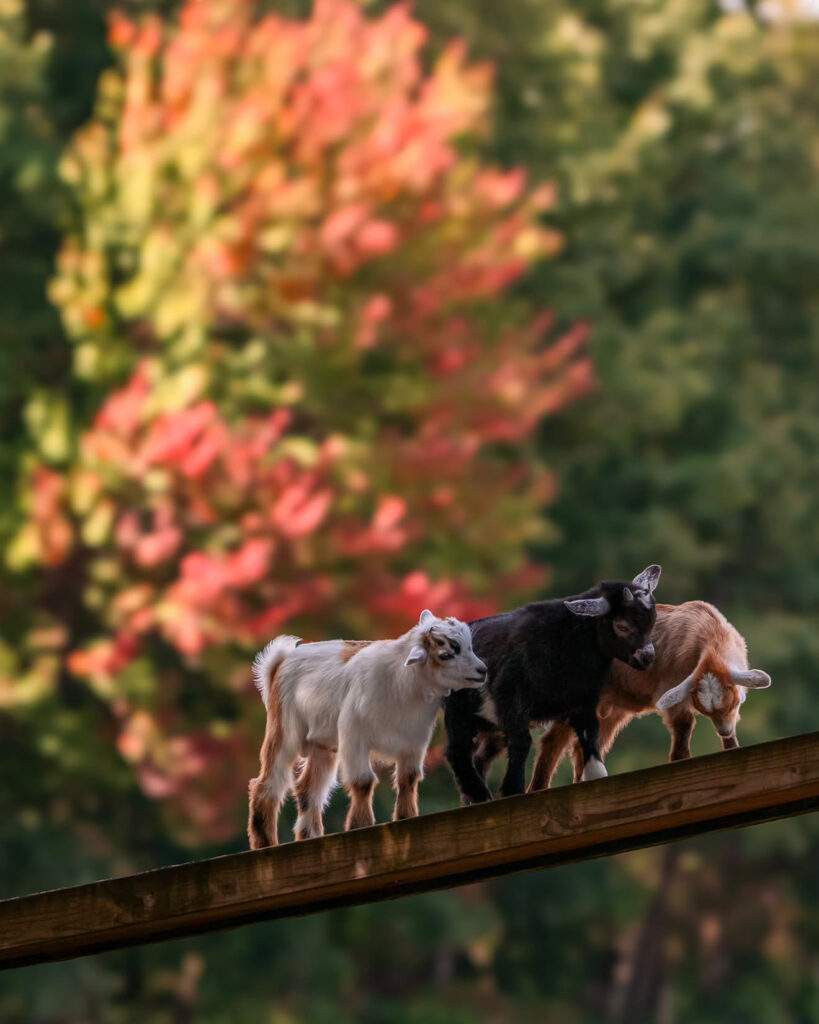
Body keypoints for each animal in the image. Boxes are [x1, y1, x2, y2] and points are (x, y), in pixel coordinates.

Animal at [248, 610, 487, 848]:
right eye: (446, 653)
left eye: (469, 645)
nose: (482, 670)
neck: (401, 683)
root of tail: (282, 660)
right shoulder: (354, 735)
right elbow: (363, 781)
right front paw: (360, 825)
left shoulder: (414, 741)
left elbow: (408, 778)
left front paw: (406, 817)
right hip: (285, 731)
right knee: (268, 784)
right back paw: (265, 843)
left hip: (322, 744)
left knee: (308, 788)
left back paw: (309, 835)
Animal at [443, 565, 661, 804]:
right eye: (622, 626)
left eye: (651, 621)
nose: (647, 658)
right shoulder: (510, 697)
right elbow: (521, 741)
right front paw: (512, 790)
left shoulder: (583, 700)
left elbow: (591, 734)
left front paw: (596, 776)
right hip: (458, 708)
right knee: (457, 750)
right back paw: (479, 794)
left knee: (479, 756)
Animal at [528, 600, 772, 790]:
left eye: (733, 705)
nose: (724, 730)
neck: (709, 633)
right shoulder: (671, 686)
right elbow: (683, 725)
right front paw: (680, 761)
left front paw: (732, 747)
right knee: (553, 741)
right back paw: (538, 788)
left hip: (611, 706)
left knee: (585, 744)